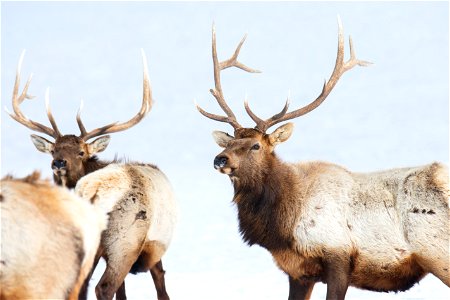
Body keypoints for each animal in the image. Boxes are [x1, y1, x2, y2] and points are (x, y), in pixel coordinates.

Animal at [197, 19, 450, 298]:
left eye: (256, 146)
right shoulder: (297, 271)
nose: (220, 159)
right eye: (230, 142)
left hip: (437, 252)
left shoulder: (338, 256)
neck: (282, 226)